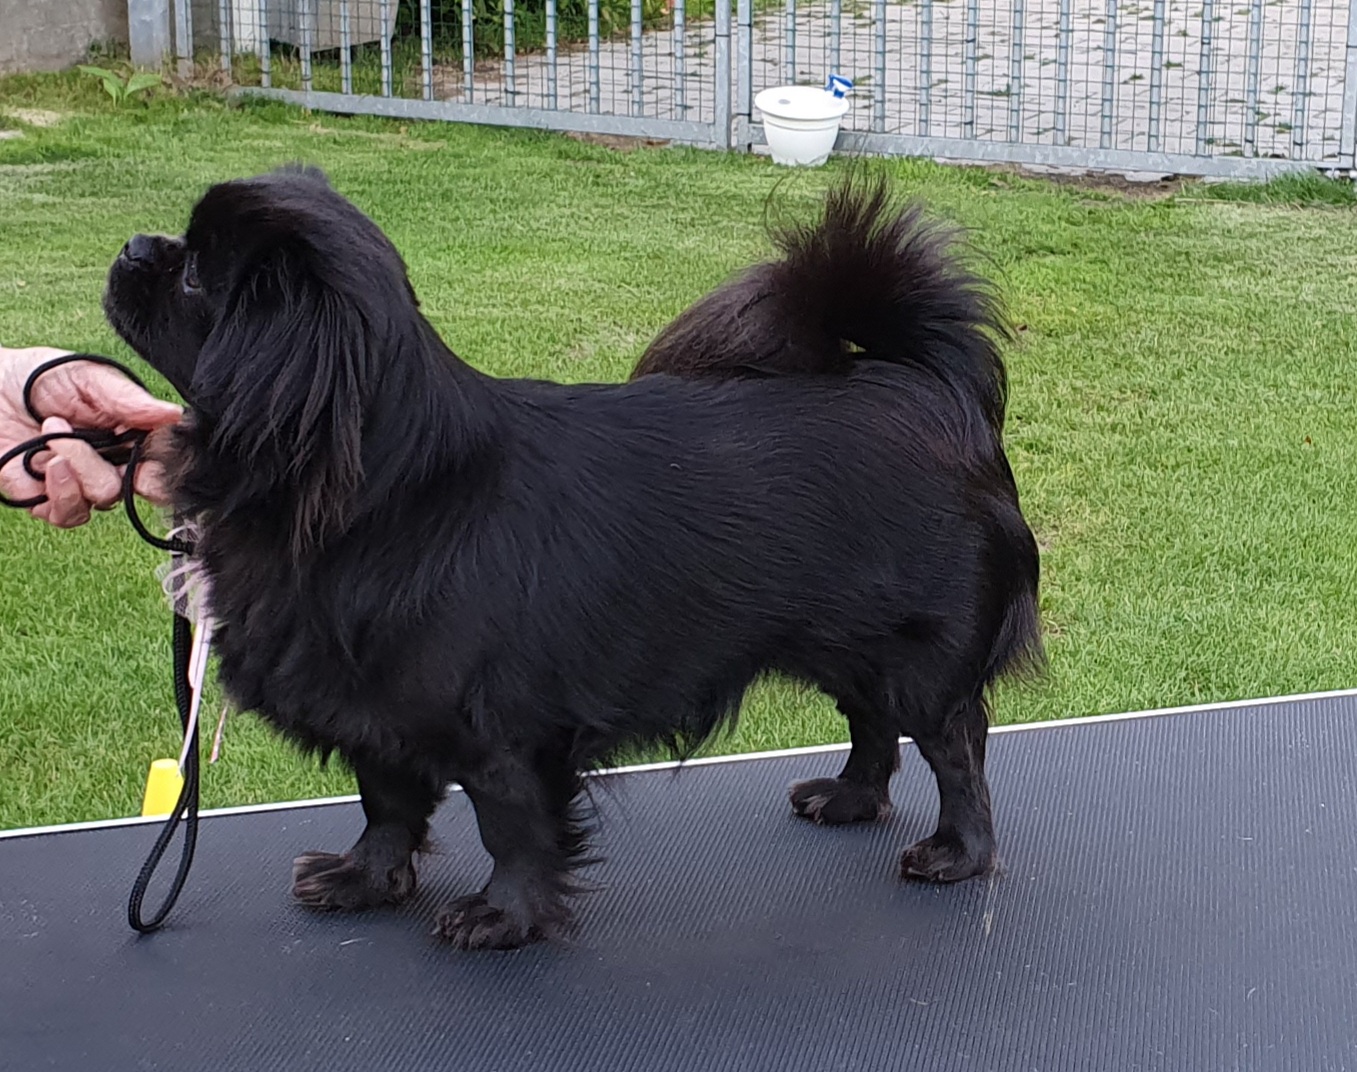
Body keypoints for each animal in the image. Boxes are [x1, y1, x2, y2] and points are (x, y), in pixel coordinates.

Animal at [102, 165, 1043, 951]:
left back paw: (957, 852)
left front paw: (502, 917)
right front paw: (363, 880)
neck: (378, 487)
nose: (135, 247)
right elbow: (386, 806)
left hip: (914, 659)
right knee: (870, 723)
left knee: (957, 747)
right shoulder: (378, 715)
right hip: (846, 644)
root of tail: (924, 385)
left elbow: (513, 831)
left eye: (196, 276)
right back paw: (849, 798)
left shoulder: (504, 739)